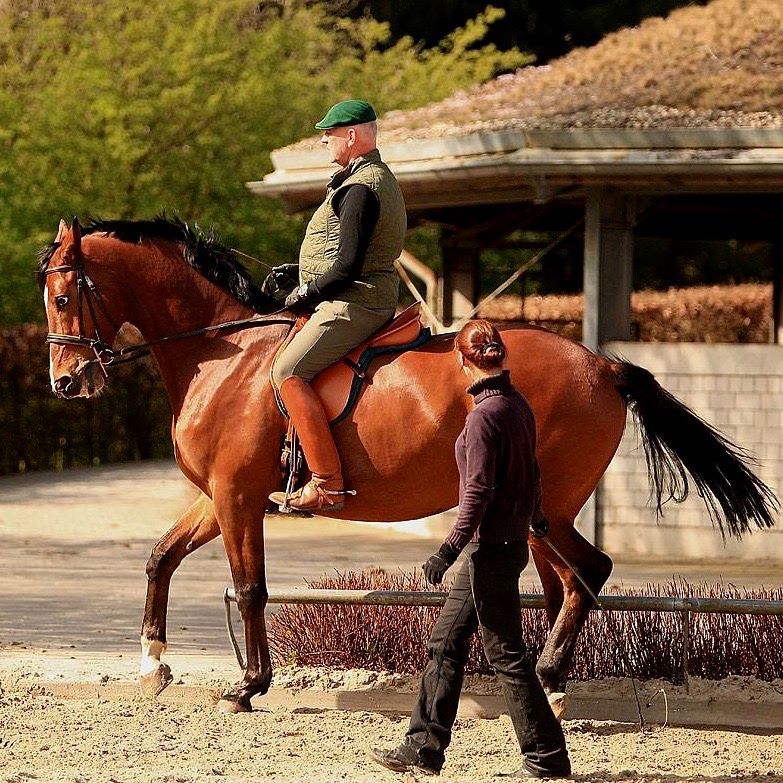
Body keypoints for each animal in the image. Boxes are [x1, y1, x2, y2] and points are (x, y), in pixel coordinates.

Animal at [41, 217, 776, 712]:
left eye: (62, 297)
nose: (66, 382)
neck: (224, 355)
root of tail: (600, 364)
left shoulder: (236, 497)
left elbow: (249, 588)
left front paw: (247, 687)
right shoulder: (217, 496)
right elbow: (160, 557)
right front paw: (152, 665)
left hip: (544, 504)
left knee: (587, 572)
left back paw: (547, 677)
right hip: (539, 508)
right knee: (567, 582)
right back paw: (549, 681)